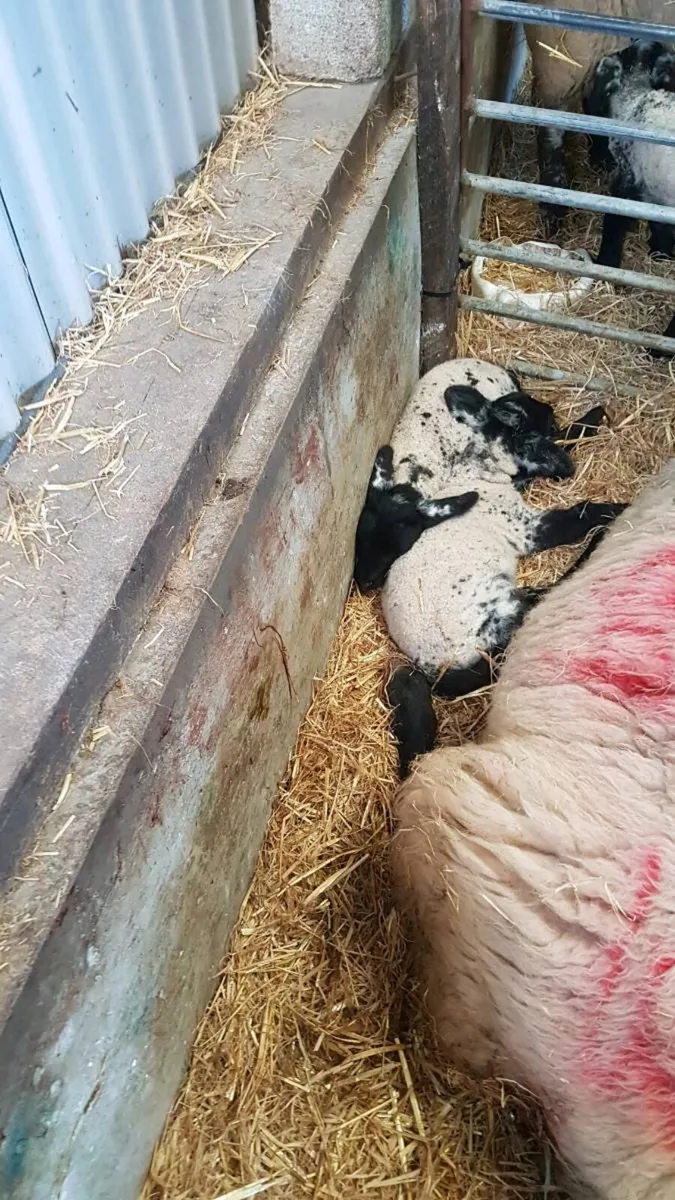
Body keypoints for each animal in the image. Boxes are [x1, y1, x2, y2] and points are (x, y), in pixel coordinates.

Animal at [354, 359, 621, 708]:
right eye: (543, 429)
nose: (568, 469)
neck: (478, 474)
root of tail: (434, 668)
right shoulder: (525, 528)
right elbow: (580, 514)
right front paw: (620, 508)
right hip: (498, 611)